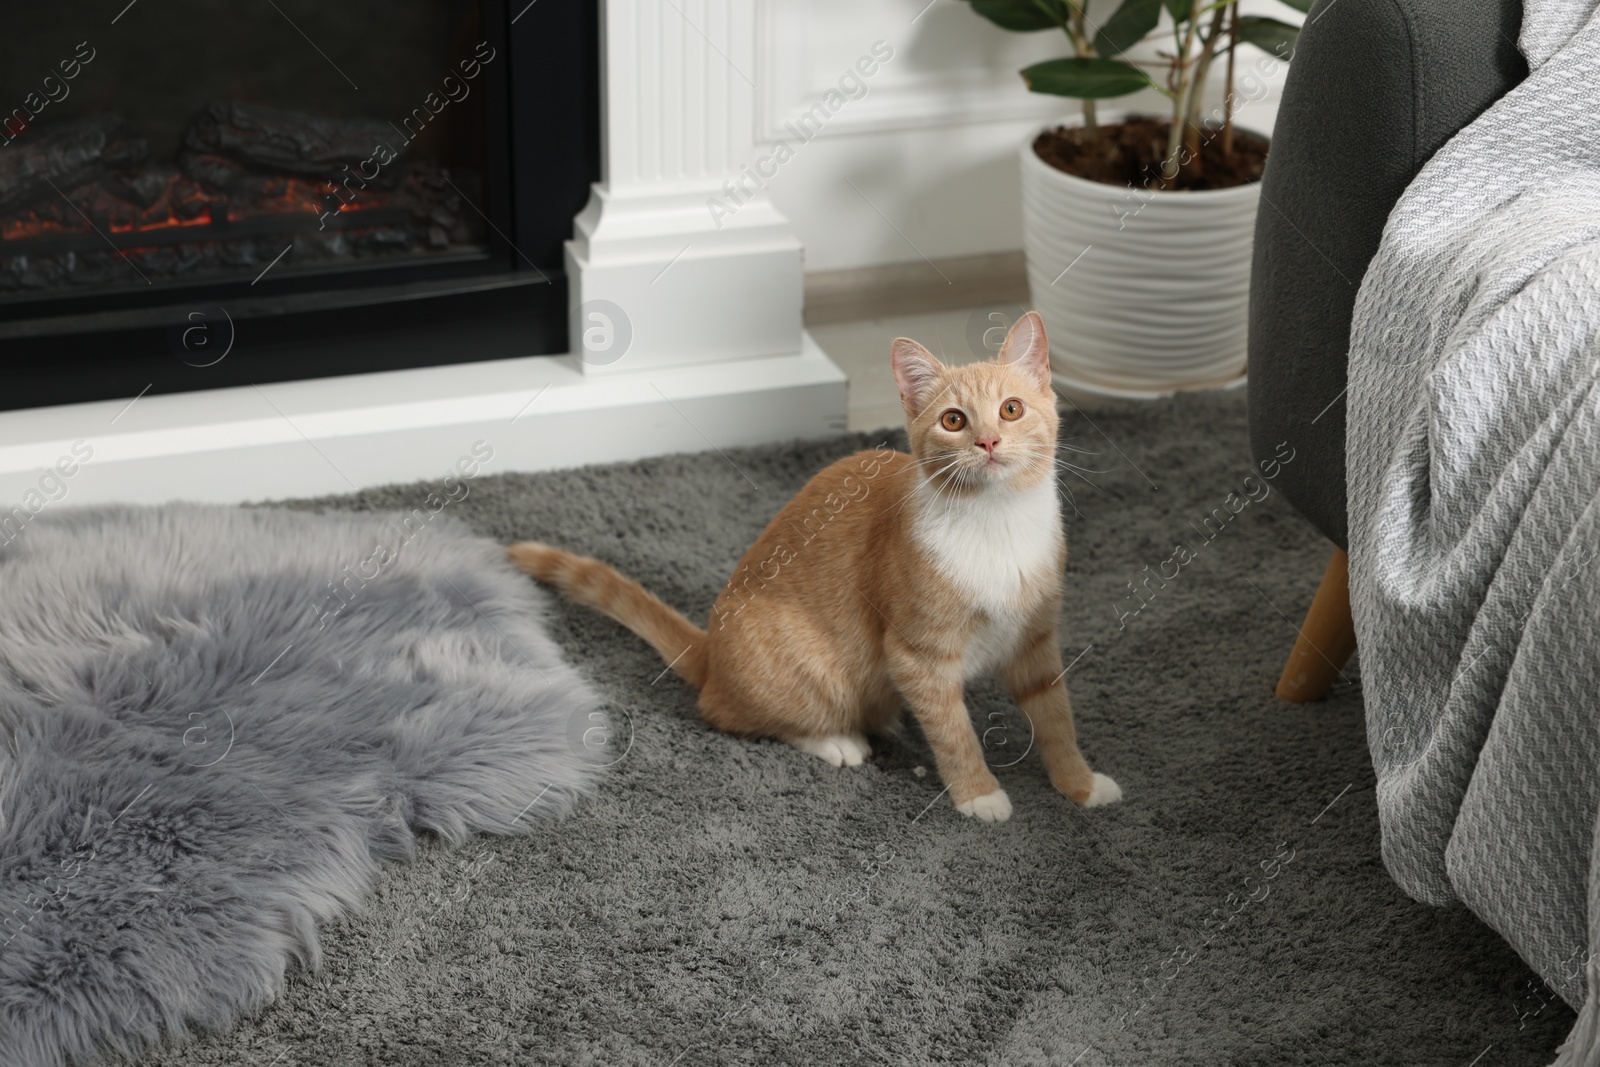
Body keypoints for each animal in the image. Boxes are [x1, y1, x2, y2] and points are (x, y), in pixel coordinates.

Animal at [508, 313, 1113, 825]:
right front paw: (978, 793)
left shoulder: (1035, 639)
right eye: (953, 420)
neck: (997, 521)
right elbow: (953, 730)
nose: (988, 440)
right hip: (810, 670)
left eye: (1011, 409)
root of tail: (711, 653)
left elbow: (1055, 715)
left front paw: (1079, 783)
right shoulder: (916, 655)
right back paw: (835, 739)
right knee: (731, 714)